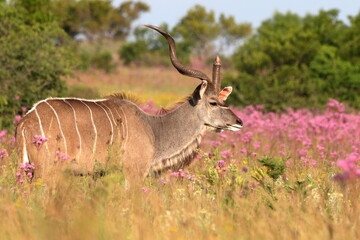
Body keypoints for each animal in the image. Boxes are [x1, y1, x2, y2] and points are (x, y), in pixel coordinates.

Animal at [15, 25, 243, 183]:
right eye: (213, 102)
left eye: (224, 100)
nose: (239, 122)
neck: (154, 128)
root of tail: (25, 122)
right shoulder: (134, 173)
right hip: (45, 170)